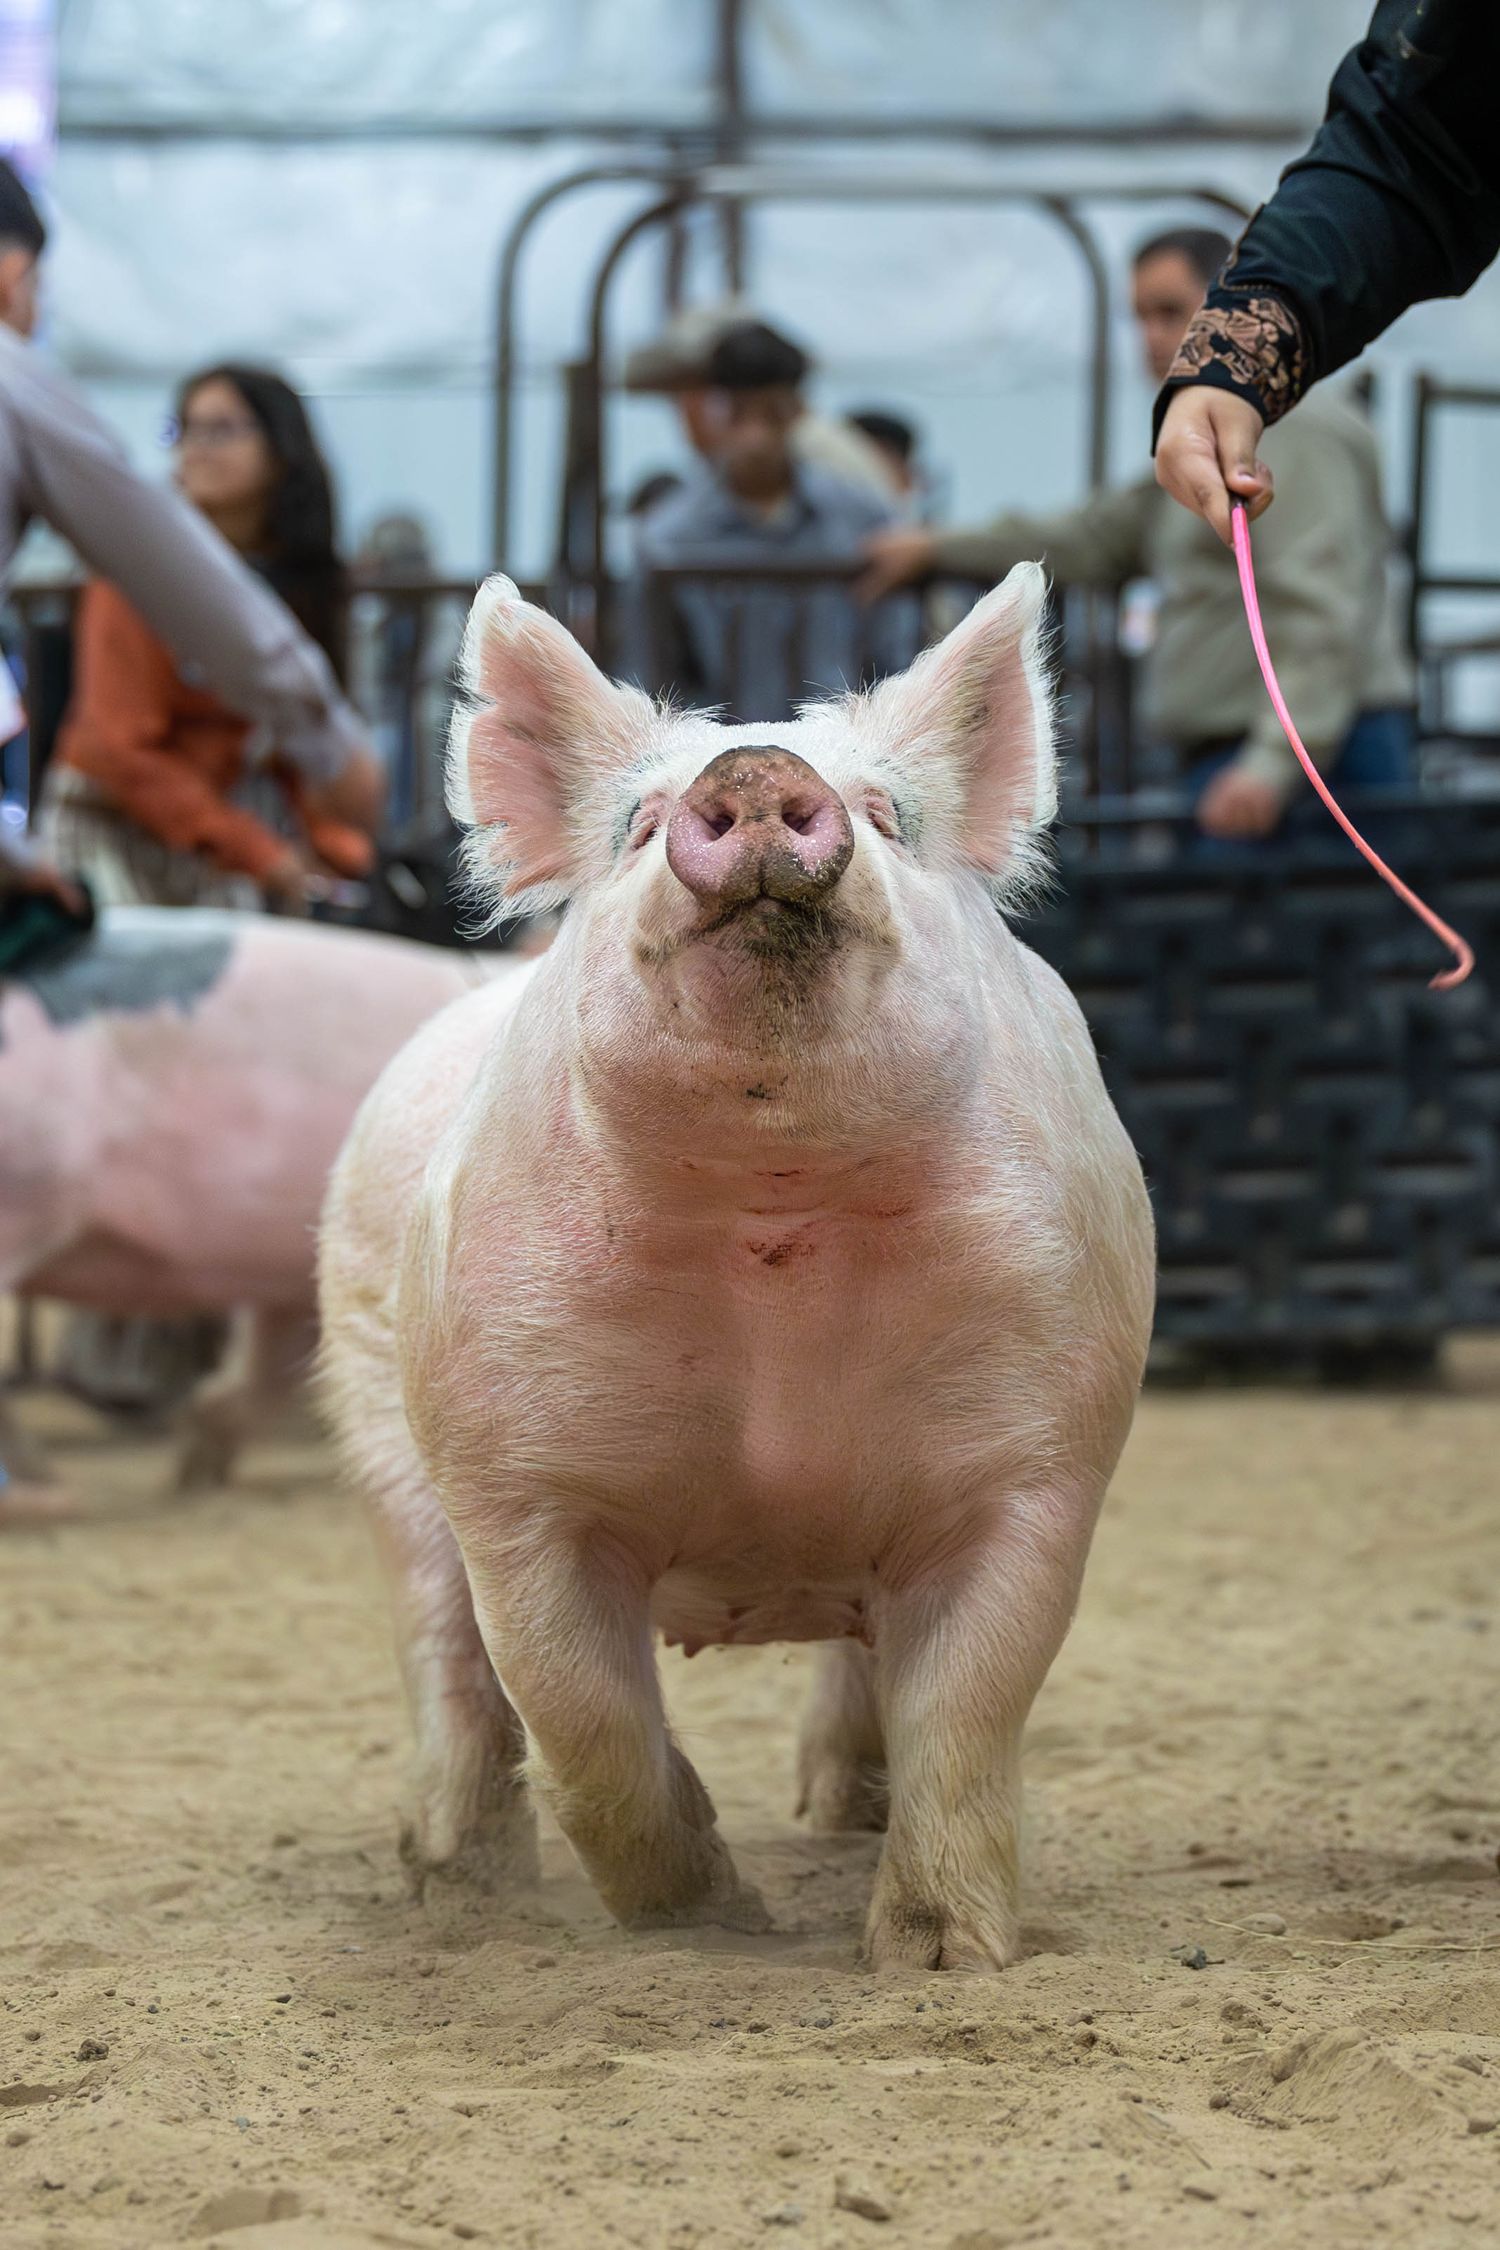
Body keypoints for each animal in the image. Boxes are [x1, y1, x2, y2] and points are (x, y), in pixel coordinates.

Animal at [318, 565, 1155, 1970]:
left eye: (887, 813)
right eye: (640, 823)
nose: (758, 770)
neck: (778, 1225)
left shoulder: (1045, 1455)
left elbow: (973, 1701)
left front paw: (935, 1956)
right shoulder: (515, 1481)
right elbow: (580, 1717)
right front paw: (711, 1920)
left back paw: (841, 1813)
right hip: (377, 1402)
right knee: (442, 1645)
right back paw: (454, 1887)